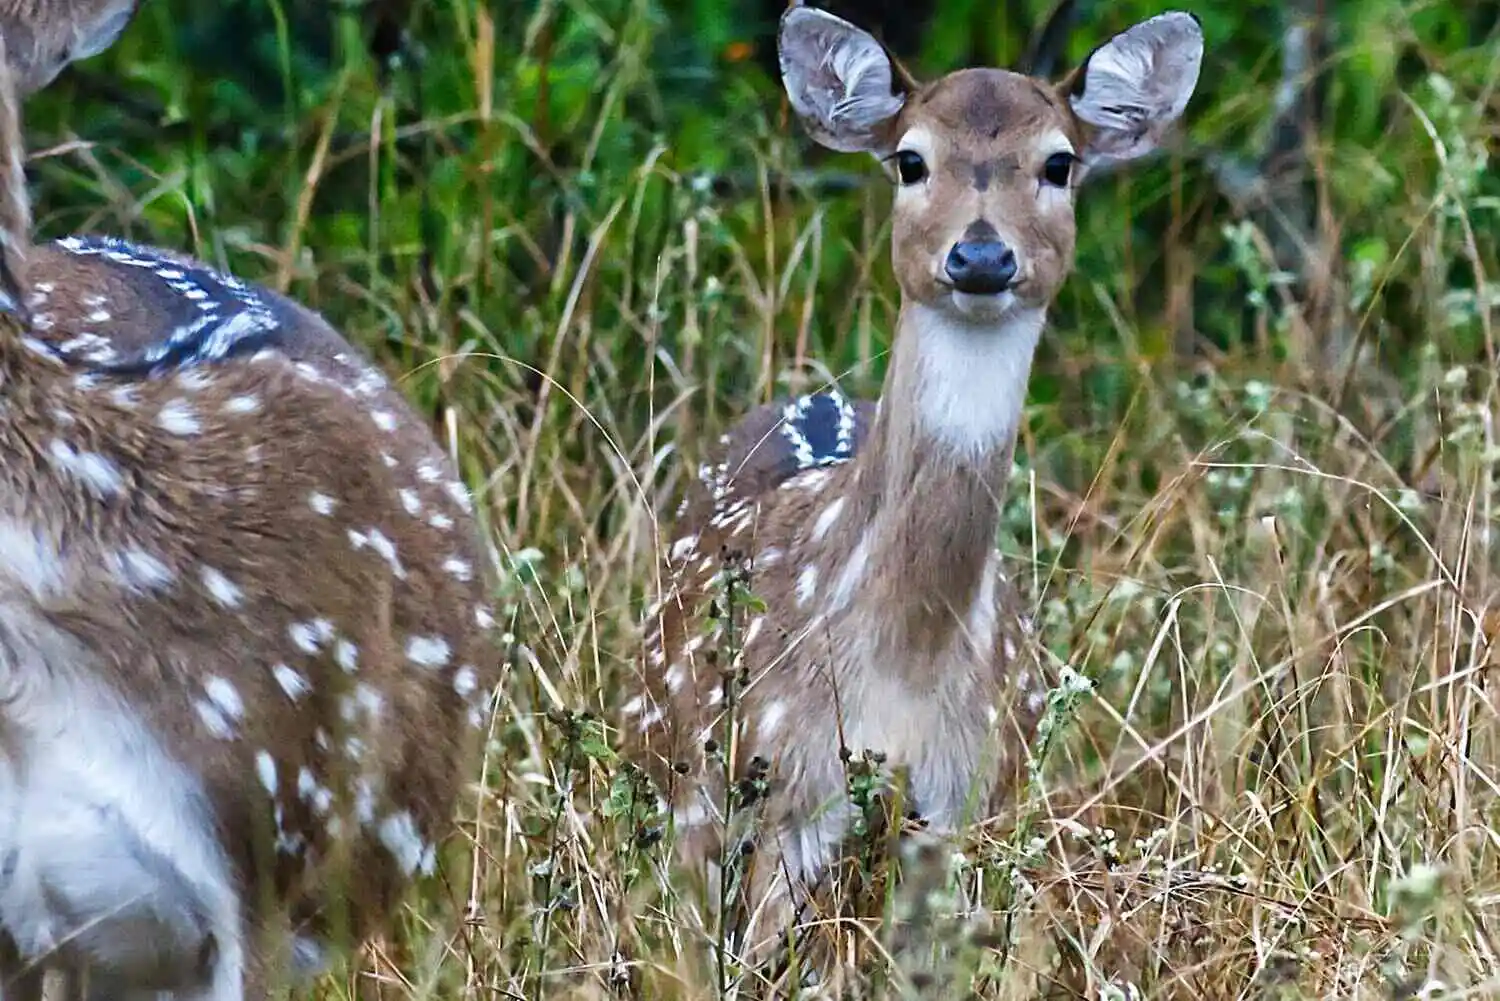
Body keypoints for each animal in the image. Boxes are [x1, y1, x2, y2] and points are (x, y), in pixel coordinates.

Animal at [627, 3, 1200, 966]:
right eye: (909, 159)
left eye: (1060, 161)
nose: (981, 256)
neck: (904, 658)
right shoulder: (788, 782)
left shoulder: (972, 794)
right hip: (677, 778)